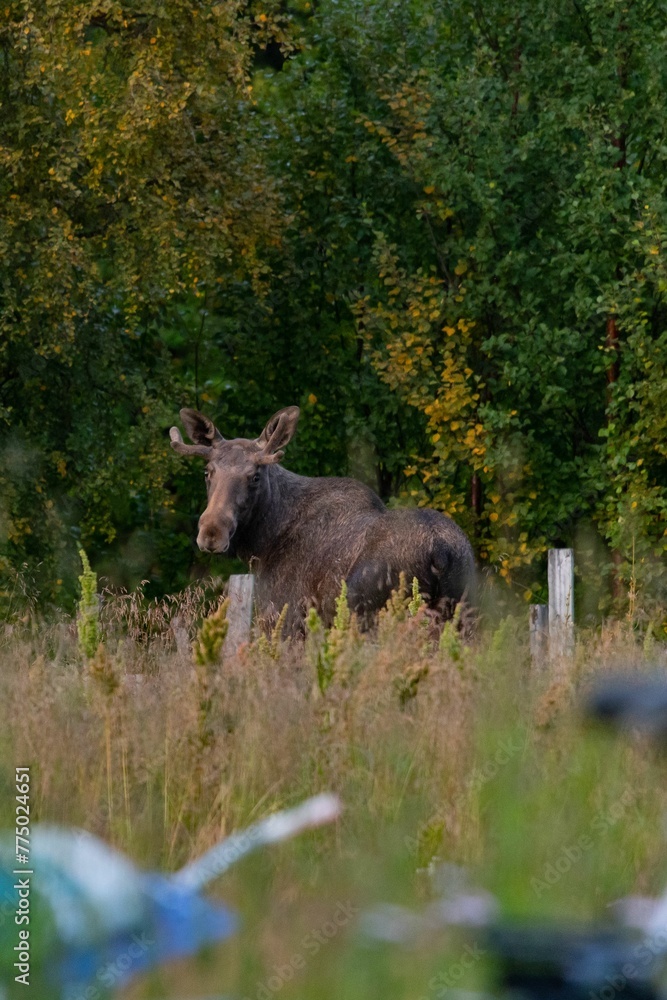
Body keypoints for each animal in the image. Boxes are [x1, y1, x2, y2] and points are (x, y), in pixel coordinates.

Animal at [170, 406, 475, 632]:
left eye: (255, 476)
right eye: (207, 472)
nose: (212, 532)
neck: (263, 543)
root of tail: (441, 552)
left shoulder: (286, 617)